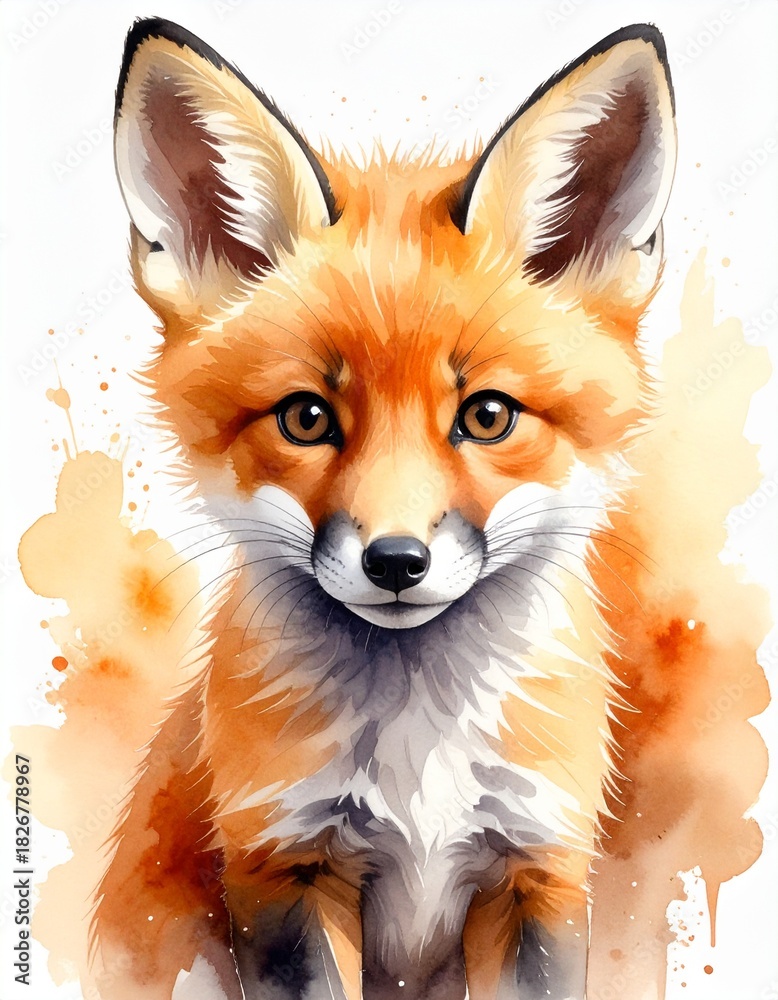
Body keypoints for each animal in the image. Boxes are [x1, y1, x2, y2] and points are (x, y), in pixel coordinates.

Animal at [96, 17, 677, 1000]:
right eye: (306, 417)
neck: (420, 753)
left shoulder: (538, 868)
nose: (396, 562)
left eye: (487, 416)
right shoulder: (281, 866)